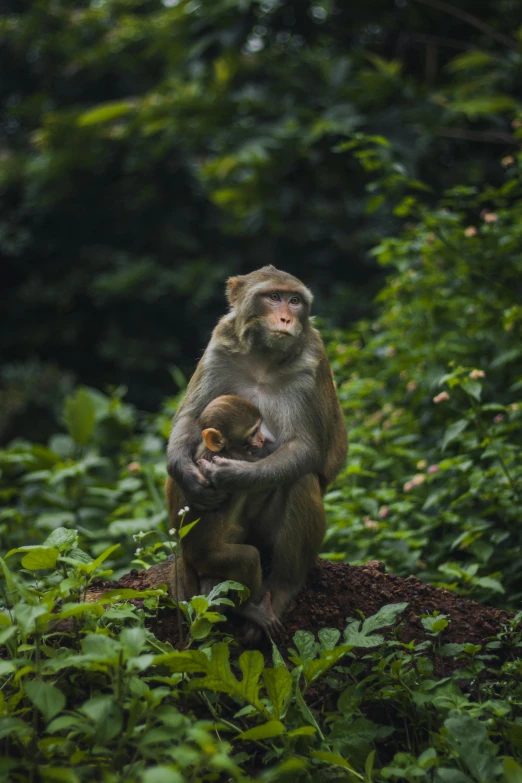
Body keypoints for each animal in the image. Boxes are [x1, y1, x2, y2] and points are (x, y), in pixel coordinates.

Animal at [180, 396, 284, 640]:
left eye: (259, 428)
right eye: (253, 432)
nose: (262, 439)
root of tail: (187, 554)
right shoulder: (239, 456)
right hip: (211, 558)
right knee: (248, 558)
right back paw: (246, 610)